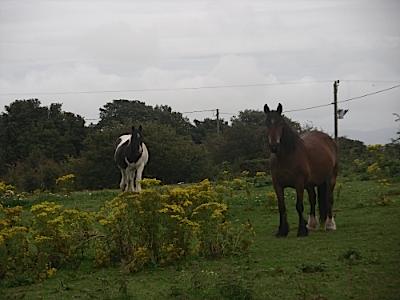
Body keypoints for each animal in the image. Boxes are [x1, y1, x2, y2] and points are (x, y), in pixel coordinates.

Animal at [266, 103, 338, 237]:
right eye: (266, 123)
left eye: (281, 123)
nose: (274, 146)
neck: (286, 157)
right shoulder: (277, 185)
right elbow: (281, 207)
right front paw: (282, 231)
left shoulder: (299, 184)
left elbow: (299, 206)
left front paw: (301, 231)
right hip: (310, 184)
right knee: (313, 199)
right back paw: (312, 224)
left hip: (331, 179)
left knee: (329, 198)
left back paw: (330, 224)